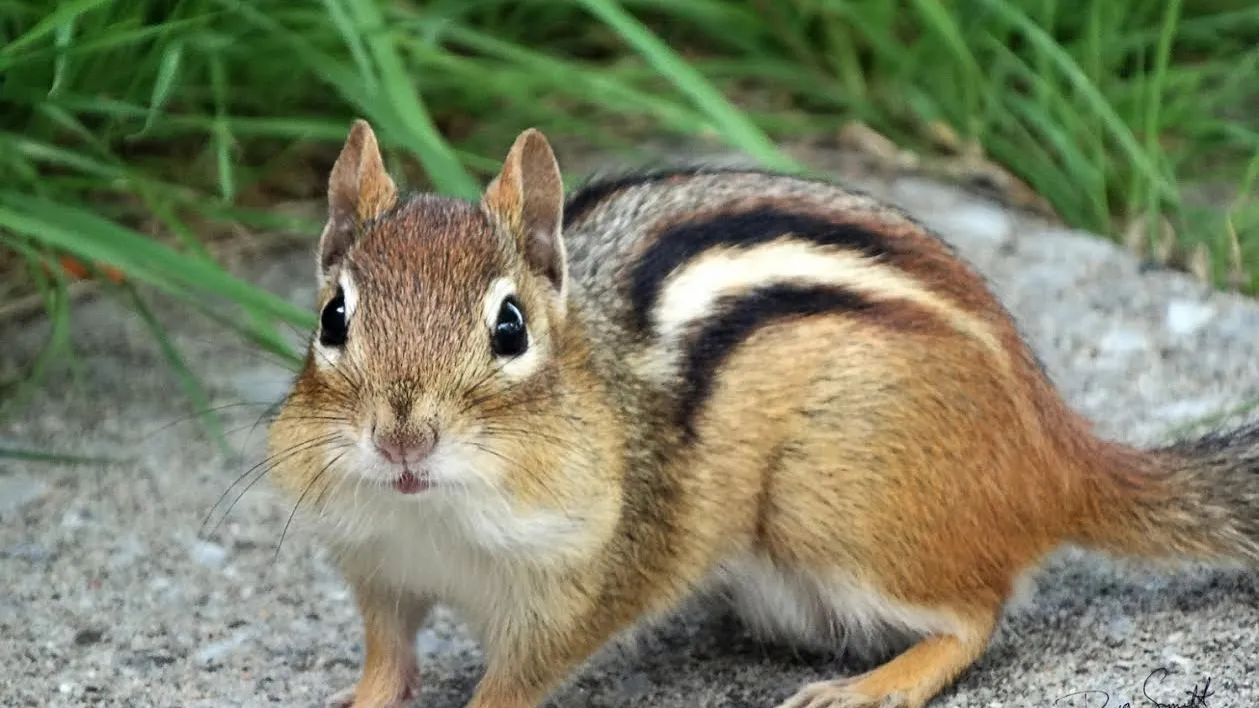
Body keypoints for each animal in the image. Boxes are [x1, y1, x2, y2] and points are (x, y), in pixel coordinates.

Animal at [266, 120, 1259, 708]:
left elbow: (512, 684)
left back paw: (866, 688)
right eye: (332, 318)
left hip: (829, 506)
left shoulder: (580, 588)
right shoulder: (379, 569)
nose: (402, 438)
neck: (429, 516)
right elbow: (385, 660)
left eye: (509, 327)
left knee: (976, 615)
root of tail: (1056, 450)